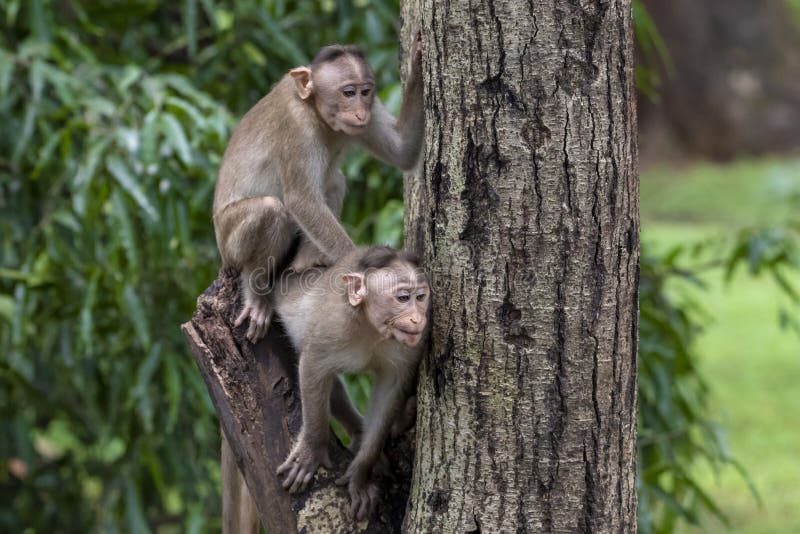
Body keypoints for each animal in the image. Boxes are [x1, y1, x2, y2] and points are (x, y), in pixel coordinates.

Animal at [212, 34, 424, 344]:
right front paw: (360, 273)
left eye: (366, 91)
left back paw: (305, 261)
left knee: (335, 181)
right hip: (228, 245)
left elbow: (403, 152)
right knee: (270, 209)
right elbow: (302, 201)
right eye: (348, 92)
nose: (360, 111)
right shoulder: (296, 127)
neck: (315, 111)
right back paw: (255, 291)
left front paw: (418, 64)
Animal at [276, 248, 432, 524]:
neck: (371, 327)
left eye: (421, 297)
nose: (417, 318)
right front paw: (312, 447)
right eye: (403, 298)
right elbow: (313, 367)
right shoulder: (332, 327)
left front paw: (361, 472)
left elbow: (390, 392)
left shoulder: (413, 344)